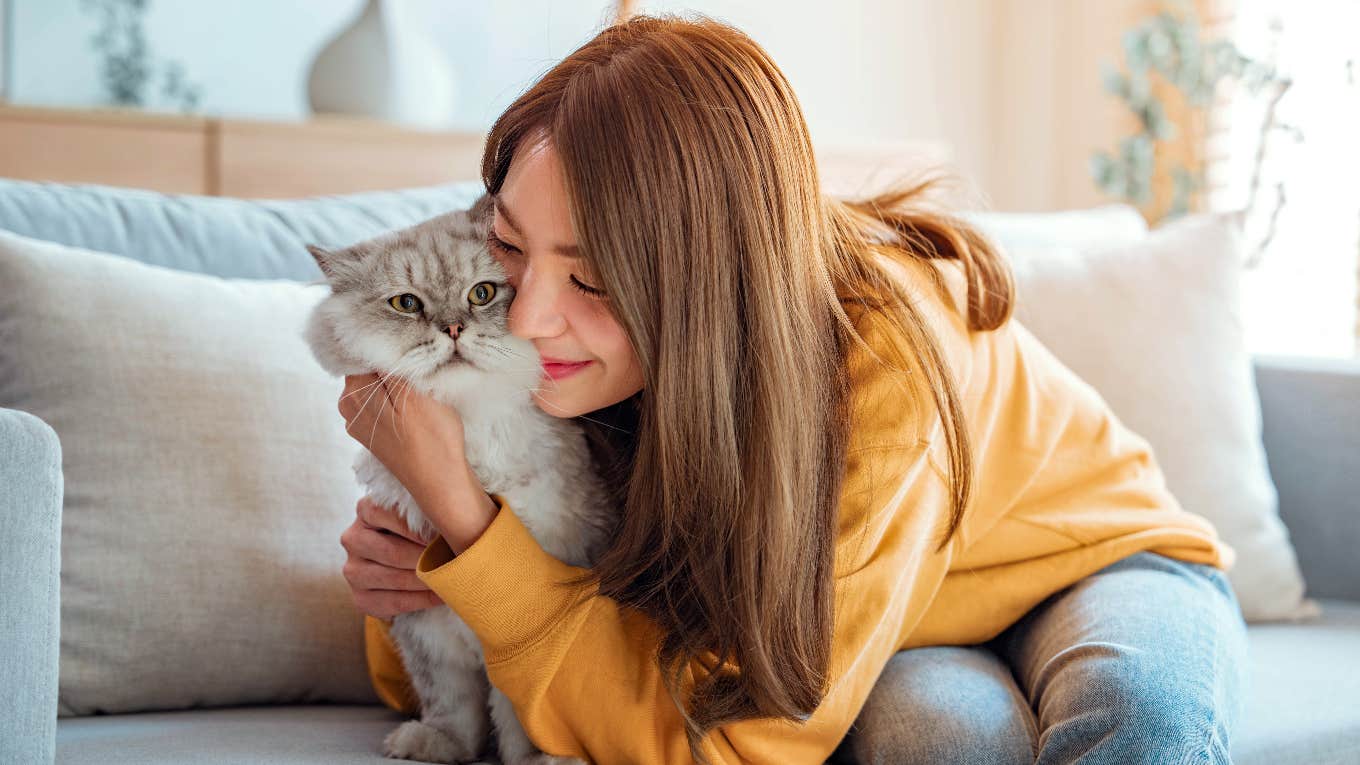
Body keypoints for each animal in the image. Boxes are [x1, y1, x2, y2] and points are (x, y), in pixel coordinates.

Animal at [304, 190, 617, 762]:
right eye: (406, 304)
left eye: (482, 294)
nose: (452, 329)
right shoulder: (427, 630)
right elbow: (453, 709)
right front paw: (435, 745)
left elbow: (519, 718)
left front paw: (537, 760)